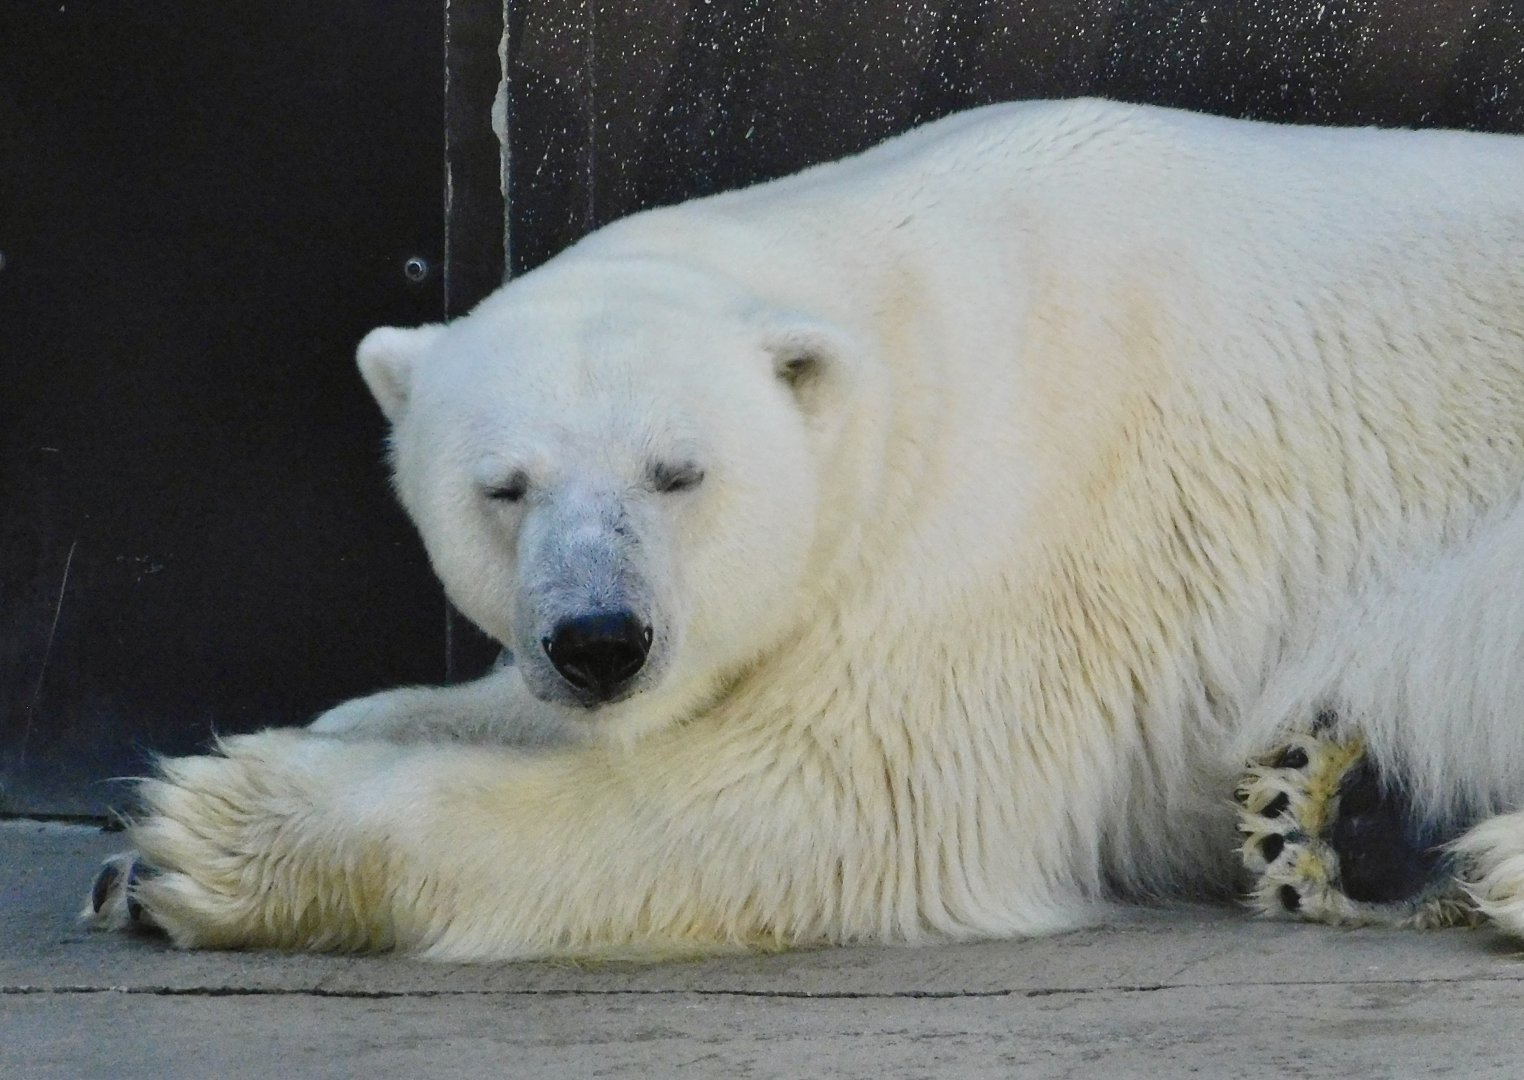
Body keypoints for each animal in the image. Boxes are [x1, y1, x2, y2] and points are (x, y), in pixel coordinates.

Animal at [86, 98, 1524, 959]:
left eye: (680, 472)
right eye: (504, 487)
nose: (598, 640)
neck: (902, 298)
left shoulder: (1010, 522)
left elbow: (825, 802)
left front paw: (200, 836)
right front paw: (148, 844)